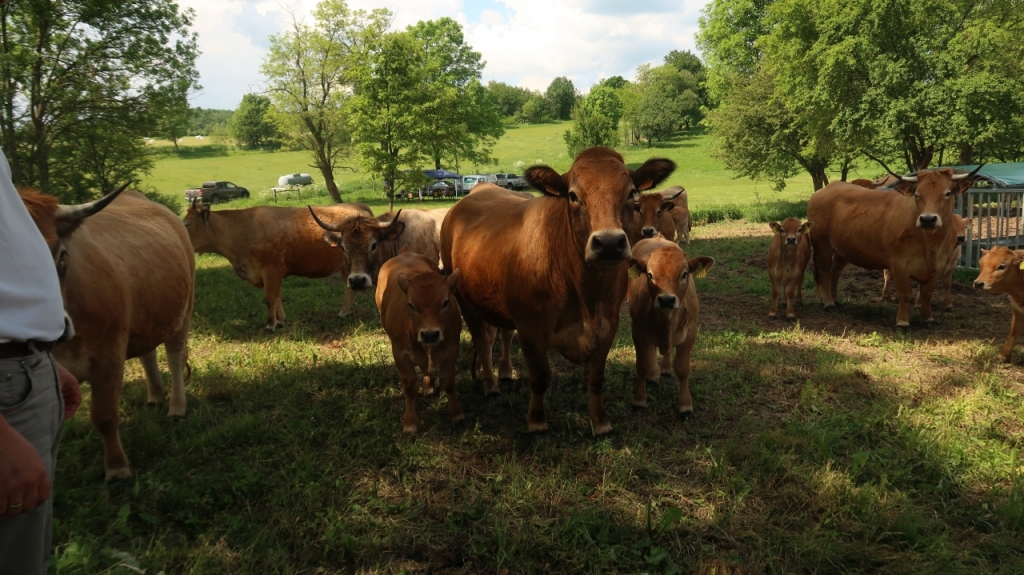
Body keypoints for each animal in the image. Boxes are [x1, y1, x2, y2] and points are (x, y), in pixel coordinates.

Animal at [184, 201, 368, 329]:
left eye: (186, 224)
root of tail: (356, 205)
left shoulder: (271, 271)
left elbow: (270, 298)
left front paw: (270, 325)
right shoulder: (272, 274)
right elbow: (277, 297)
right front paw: (280, 321)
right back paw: (343, 313)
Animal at [374, 248, 462, 431]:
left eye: (445, 302)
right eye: (411, 305)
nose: (430, 334)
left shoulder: (452, 349)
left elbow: (449, 382)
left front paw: (456, 414)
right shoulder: (400, 354)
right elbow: (410, 387)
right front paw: (409, 422)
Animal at [438, 145, 671, 431]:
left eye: (631, 193)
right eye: (572, 195)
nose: (608, 243)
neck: (586, 294)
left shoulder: (608, 325)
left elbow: (596, 377)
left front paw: (600, 422)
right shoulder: (530, 329)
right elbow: (540, 377)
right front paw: (537, 421)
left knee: (502, 334)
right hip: (462, 296)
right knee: (482, 339)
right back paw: (490, 385)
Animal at [806, 165, 983, 327]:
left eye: (947, 193)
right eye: (917, 194)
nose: (927, 219)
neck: (929, 244)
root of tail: (824, 190)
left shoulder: (938, 267)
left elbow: (927, 294)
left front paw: (928, 319)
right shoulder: (900, 264)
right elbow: (905, 294)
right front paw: (902, 322)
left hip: (842, 249)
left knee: (835, 271)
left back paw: (835, 300)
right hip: (822, 245)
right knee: (824, 272)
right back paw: (829, 303)